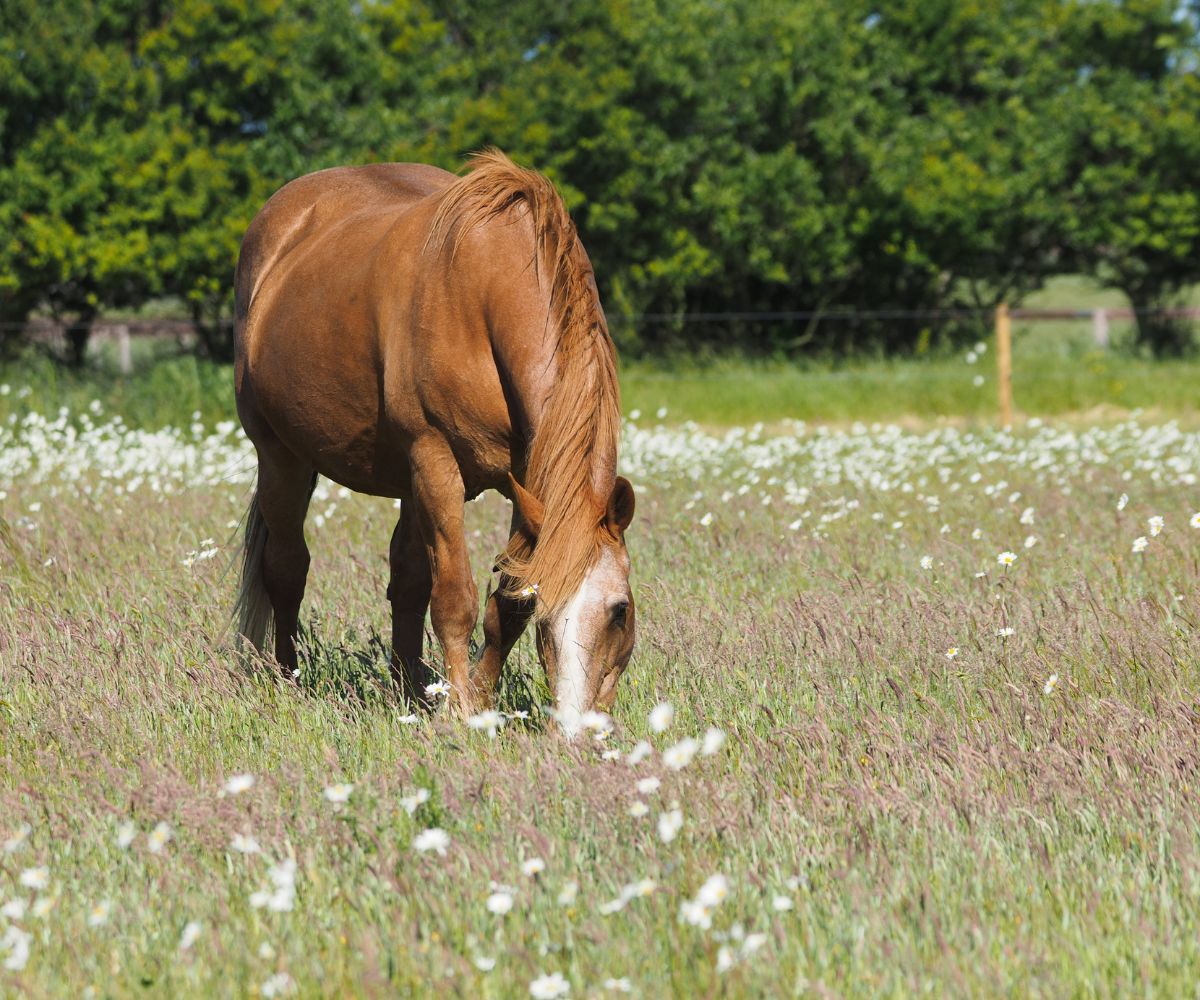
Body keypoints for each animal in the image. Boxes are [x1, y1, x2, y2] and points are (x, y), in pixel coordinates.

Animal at [228, 148, 633, 729]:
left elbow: (506, 600)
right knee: (287, 568)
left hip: (405, 483)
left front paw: (479, 699)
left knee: (406, 581)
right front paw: (462, 712)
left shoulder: (530, 479)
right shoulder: (437, 461)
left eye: (620, 610)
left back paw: (410, 691)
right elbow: (455, 598)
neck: (487, 286)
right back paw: (290, 678)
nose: (579, 733)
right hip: (282, 458)